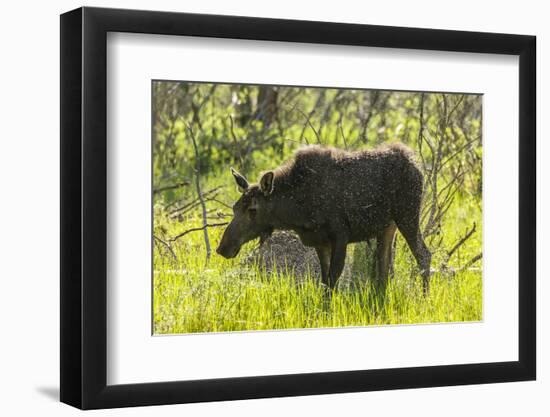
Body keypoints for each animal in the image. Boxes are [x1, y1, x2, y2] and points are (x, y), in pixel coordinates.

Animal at [218, 145, 434, 290]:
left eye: (253, 209)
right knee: (384, 267)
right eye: (234, 207)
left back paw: (424, 298)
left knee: (423, 255)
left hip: (407, 215)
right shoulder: (320, 241)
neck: (297, 210)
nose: (223, 247)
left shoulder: (341, 235)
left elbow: (333, 278)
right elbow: (324, 279)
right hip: (387, 227)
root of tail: (416, 164)